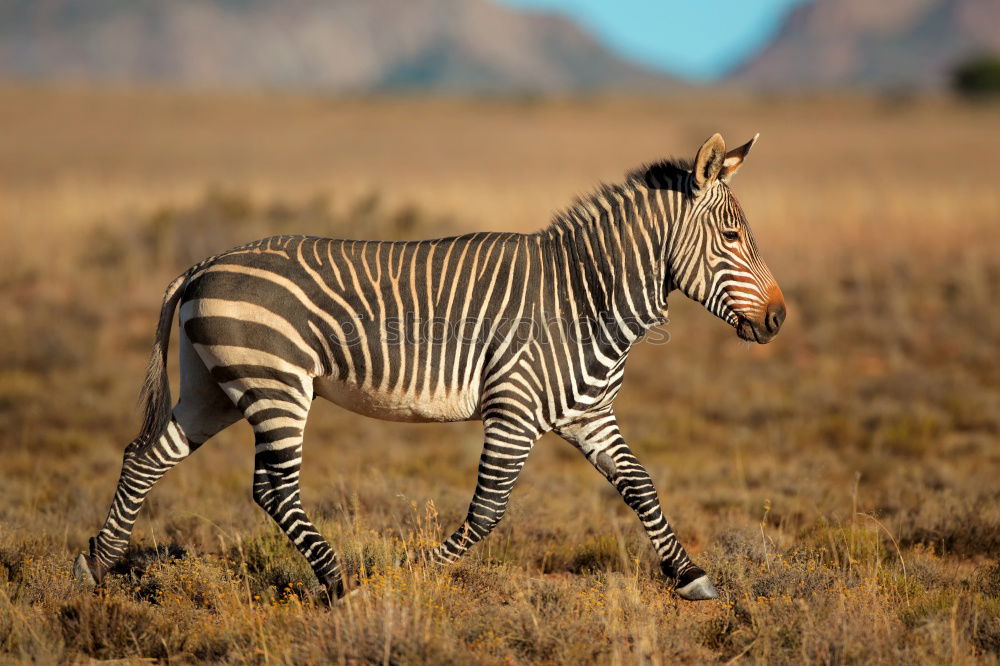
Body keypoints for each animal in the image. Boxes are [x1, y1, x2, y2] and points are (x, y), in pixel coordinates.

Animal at [74, 132, 784, 600]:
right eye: (730, 238)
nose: (778, 318)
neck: (584, 297)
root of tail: (204, 263)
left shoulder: (588, 414)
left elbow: (640, 485)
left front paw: (690, 576)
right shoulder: (513, 410)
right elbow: (489, 510)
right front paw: (411, 573)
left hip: (215, 389)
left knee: (145, 455)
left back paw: (96, 566)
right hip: (277, 385)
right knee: (271, 489)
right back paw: (339, 584)